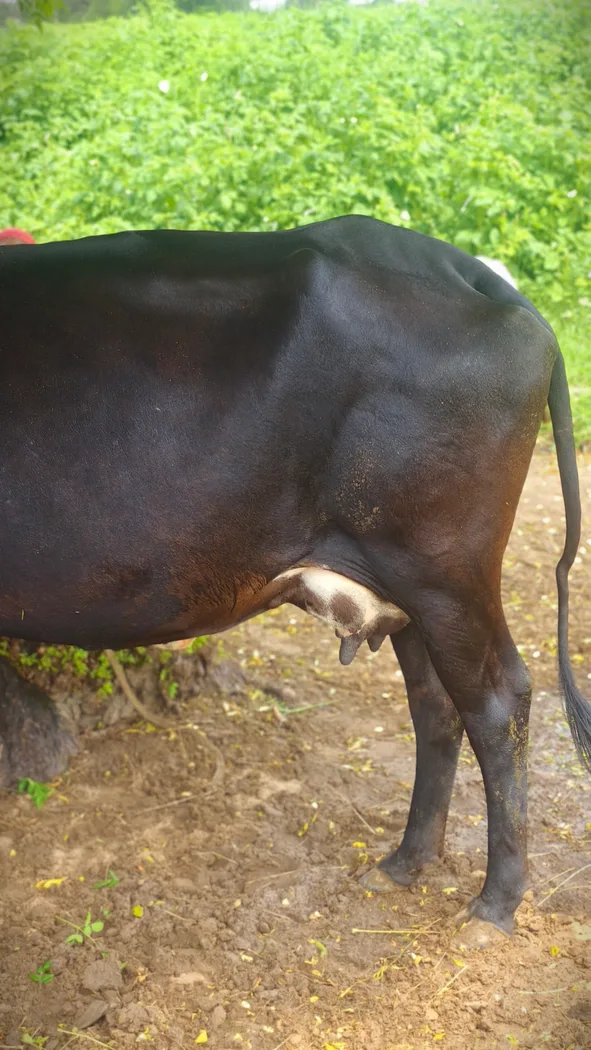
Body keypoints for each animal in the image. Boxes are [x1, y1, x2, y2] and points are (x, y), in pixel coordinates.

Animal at [0, 214, 589, 949]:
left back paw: (495, 904)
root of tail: (477, 274)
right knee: (435, 705)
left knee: (497, 704)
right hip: (406, 588)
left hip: (445, 572)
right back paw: (405, 861)